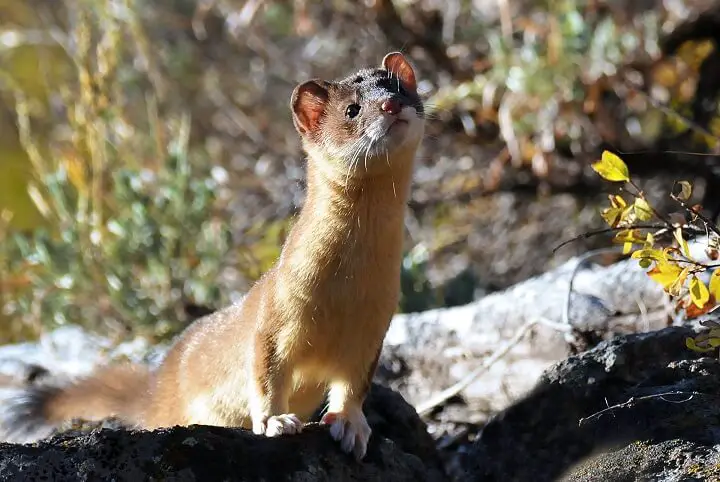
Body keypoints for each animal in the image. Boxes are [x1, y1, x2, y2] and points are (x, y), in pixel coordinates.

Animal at [0, 50, 428, 462]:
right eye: (351, 109)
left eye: (399, 88)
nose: (391, 105)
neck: (347, 292)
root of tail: (159, 384)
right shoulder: (275, 312)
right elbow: (265, 373)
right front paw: (275, 421)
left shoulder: (374, 329)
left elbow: (353, 387)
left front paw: (352, 427)